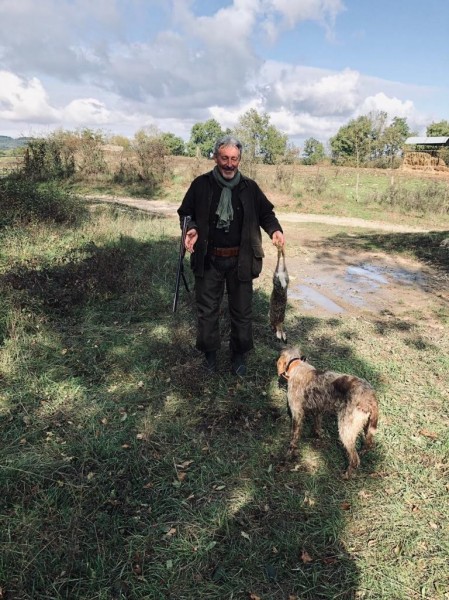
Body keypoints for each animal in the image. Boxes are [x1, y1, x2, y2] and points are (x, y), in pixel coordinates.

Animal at [276, 346, 378, 478]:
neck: (298, 365)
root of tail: (370, 397)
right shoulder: (318, 411)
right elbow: (317, 426)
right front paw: (318, 436)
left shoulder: (297, 414)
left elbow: (293, 439)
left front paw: (288, 456)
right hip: (368, 428)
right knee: (368, 445)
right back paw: (363, 452)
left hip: (345, 430)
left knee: (355, 459)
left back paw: (346, 475)